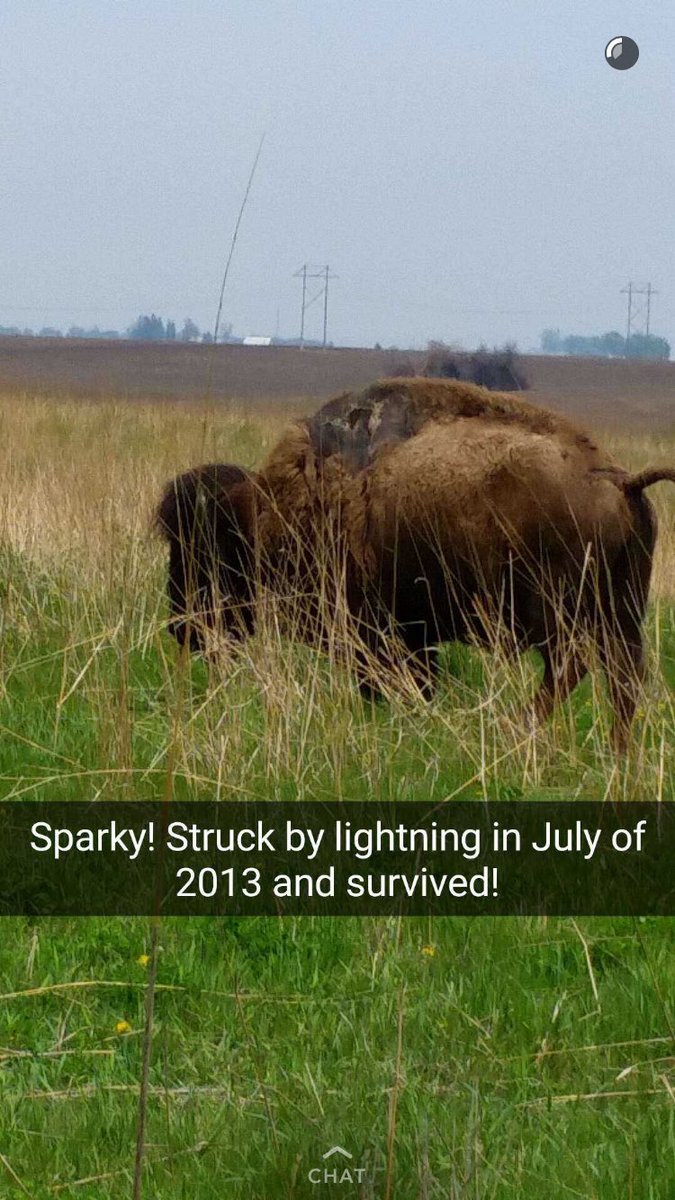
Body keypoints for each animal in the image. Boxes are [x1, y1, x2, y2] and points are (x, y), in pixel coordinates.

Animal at [156, 378, 675, 749]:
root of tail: (618, 479)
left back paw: (518, 727)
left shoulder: (379, 632)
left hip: (559, 614)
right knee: (623, 679)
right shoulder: (412, 633)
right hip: (621, 614)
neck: (266, 511)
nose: (180, 625)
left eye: (203, 547)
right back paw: (615, 751)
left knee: (573, 666)